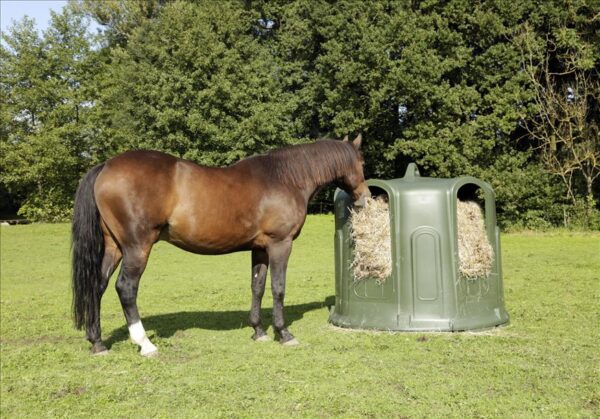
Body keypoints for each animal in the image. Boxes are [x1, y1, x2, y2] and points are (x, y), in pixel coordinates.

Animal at [72, 135, 368, 358]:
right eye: (362, 161)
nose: (365, 197)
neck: (284, 178)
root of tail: (106, 166)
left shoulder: (259, 248)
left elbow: (257, 287)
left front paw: (259, 331)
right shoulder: (279, 245)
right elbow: (278, 288)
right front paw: (283, 333)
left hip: (114, 247)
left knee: (97, 285)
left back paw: (97, 342)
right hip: (137, 248)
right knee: (126, 288)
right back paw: (145, 344)